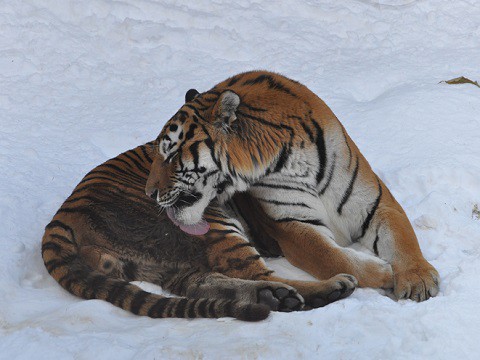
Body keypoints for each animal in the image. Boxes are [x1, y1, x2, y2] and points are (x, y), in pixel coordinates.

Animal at [42, 69, 438, 320]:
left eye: (169, 155)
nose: (150, 191)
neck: (290, 154)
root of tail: (62, 215)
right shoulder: (292, 226)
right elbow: (334, 256)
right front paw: (384, 274)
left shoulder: (375, 202)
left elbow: (403, 238)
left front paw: (418, 279)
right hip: (215, 223)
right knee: (261, 273)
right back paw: (322, 290)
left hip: (166, 257)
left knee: (201, 282)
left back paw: (274, 297)